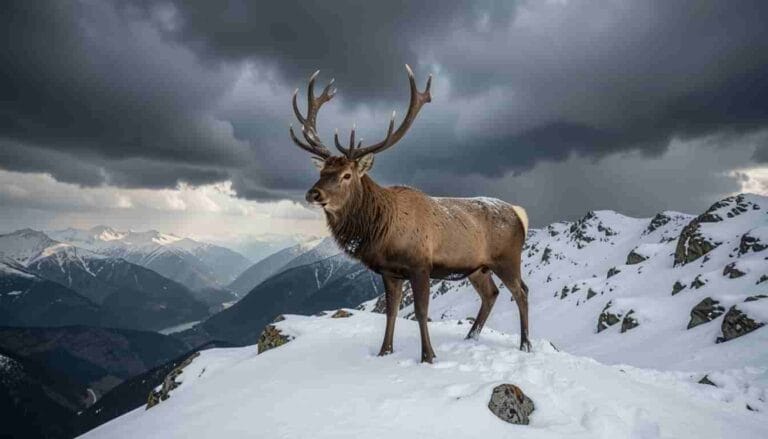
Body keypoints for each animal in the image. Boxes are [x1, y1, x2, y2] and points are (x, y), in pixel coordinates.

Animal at [289, 65, 530, 363]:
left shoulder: (420, 265)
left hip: (508, 258)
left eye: (347, 175)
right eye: (322, 171)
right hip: (477, 267)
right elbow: (390, 311)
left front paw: (428, 356)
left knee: (521, 292)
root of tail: (520, 214)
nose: (313, 193)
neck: (381, 231)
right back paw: (470, 337)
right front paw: (384, 351)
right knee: (491, 294)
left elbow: (420, 312)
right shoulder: (389, 271)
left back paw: (525, 344)